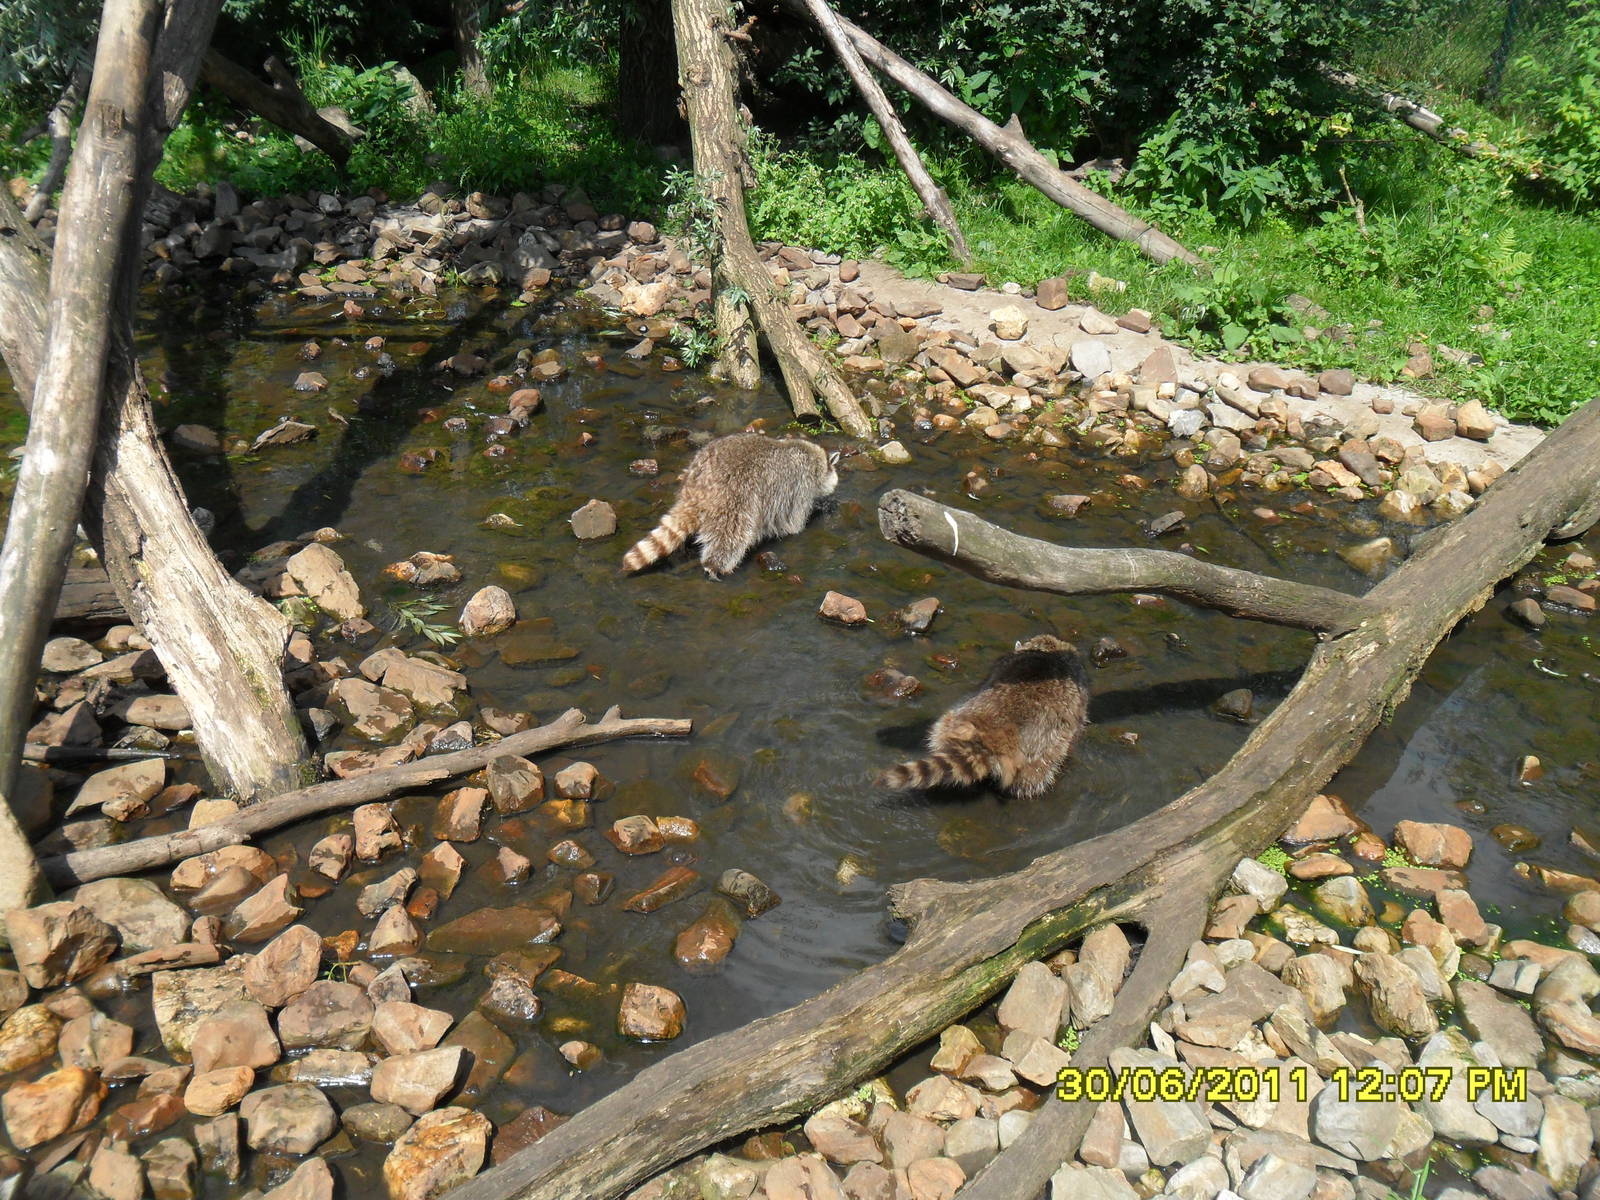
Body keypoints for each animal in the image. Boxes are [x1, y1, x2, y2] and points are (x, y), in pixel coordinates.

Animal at [622, 433, 840, 579]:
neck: (814, 460)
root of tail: (696, 490)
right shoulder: (798, 485)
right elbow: (794, 521)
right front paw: (816, 509)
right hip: (735, 498)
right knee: (732, 535)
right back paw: (715, 564)